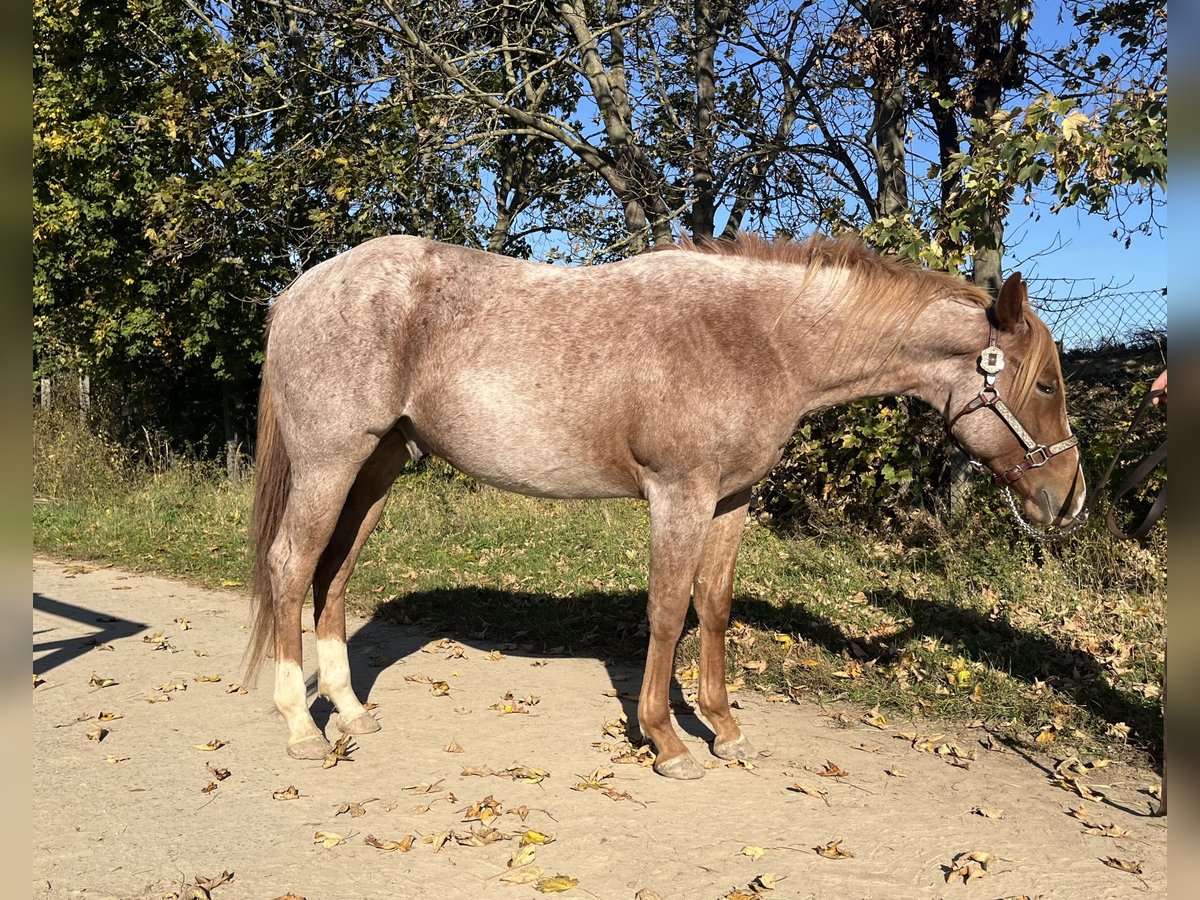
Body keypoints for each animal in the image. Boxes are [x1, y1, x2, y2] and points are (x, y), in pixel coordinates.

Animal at [246, 234, 1089, 782]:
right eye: (1046, 383)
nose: (1069, 498)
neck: (762, 340)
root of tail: (297, 291)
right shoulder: (677, 495)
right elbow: (665, 609)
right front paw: (666, 741)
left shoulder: (729, 500)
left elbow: (711, 606)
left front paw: (724, 728)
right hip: (331, 462)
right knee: (291, 565)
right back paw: (299, 724)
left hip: (378, 466)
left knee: (333, 574)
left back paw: (350, 711)